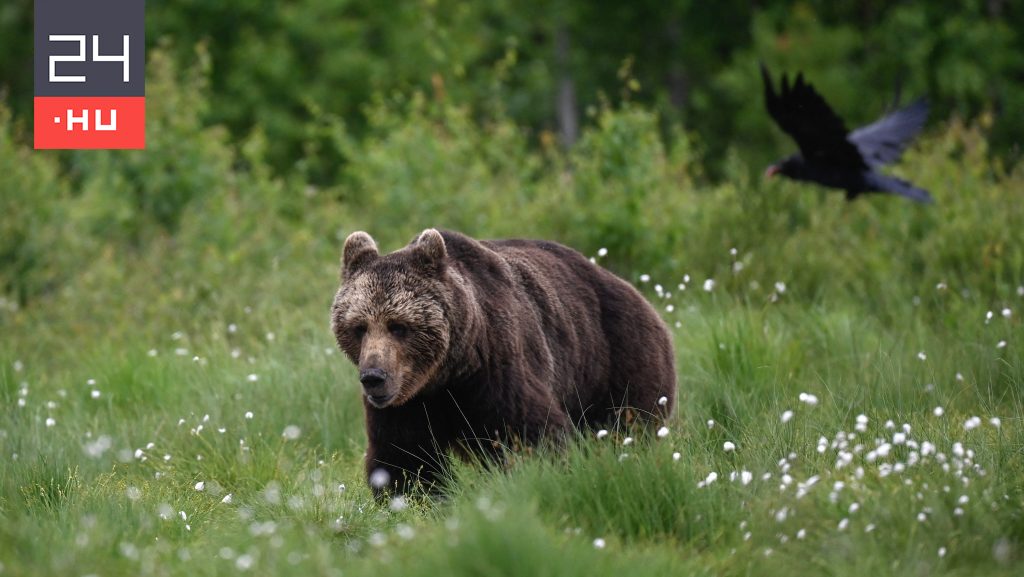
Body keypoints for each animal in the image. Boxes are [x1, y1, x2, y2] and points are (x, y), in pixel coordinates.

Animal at [331, 228, 675, 493]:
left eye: (398, 326)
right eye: (359, 327)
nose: (373, 377)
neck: (448, 372)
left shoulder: (495, 367)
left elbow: (528, 433)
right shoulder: (409, 400)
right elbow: (405, 454)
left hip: (618, 360)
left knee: (628, 425)